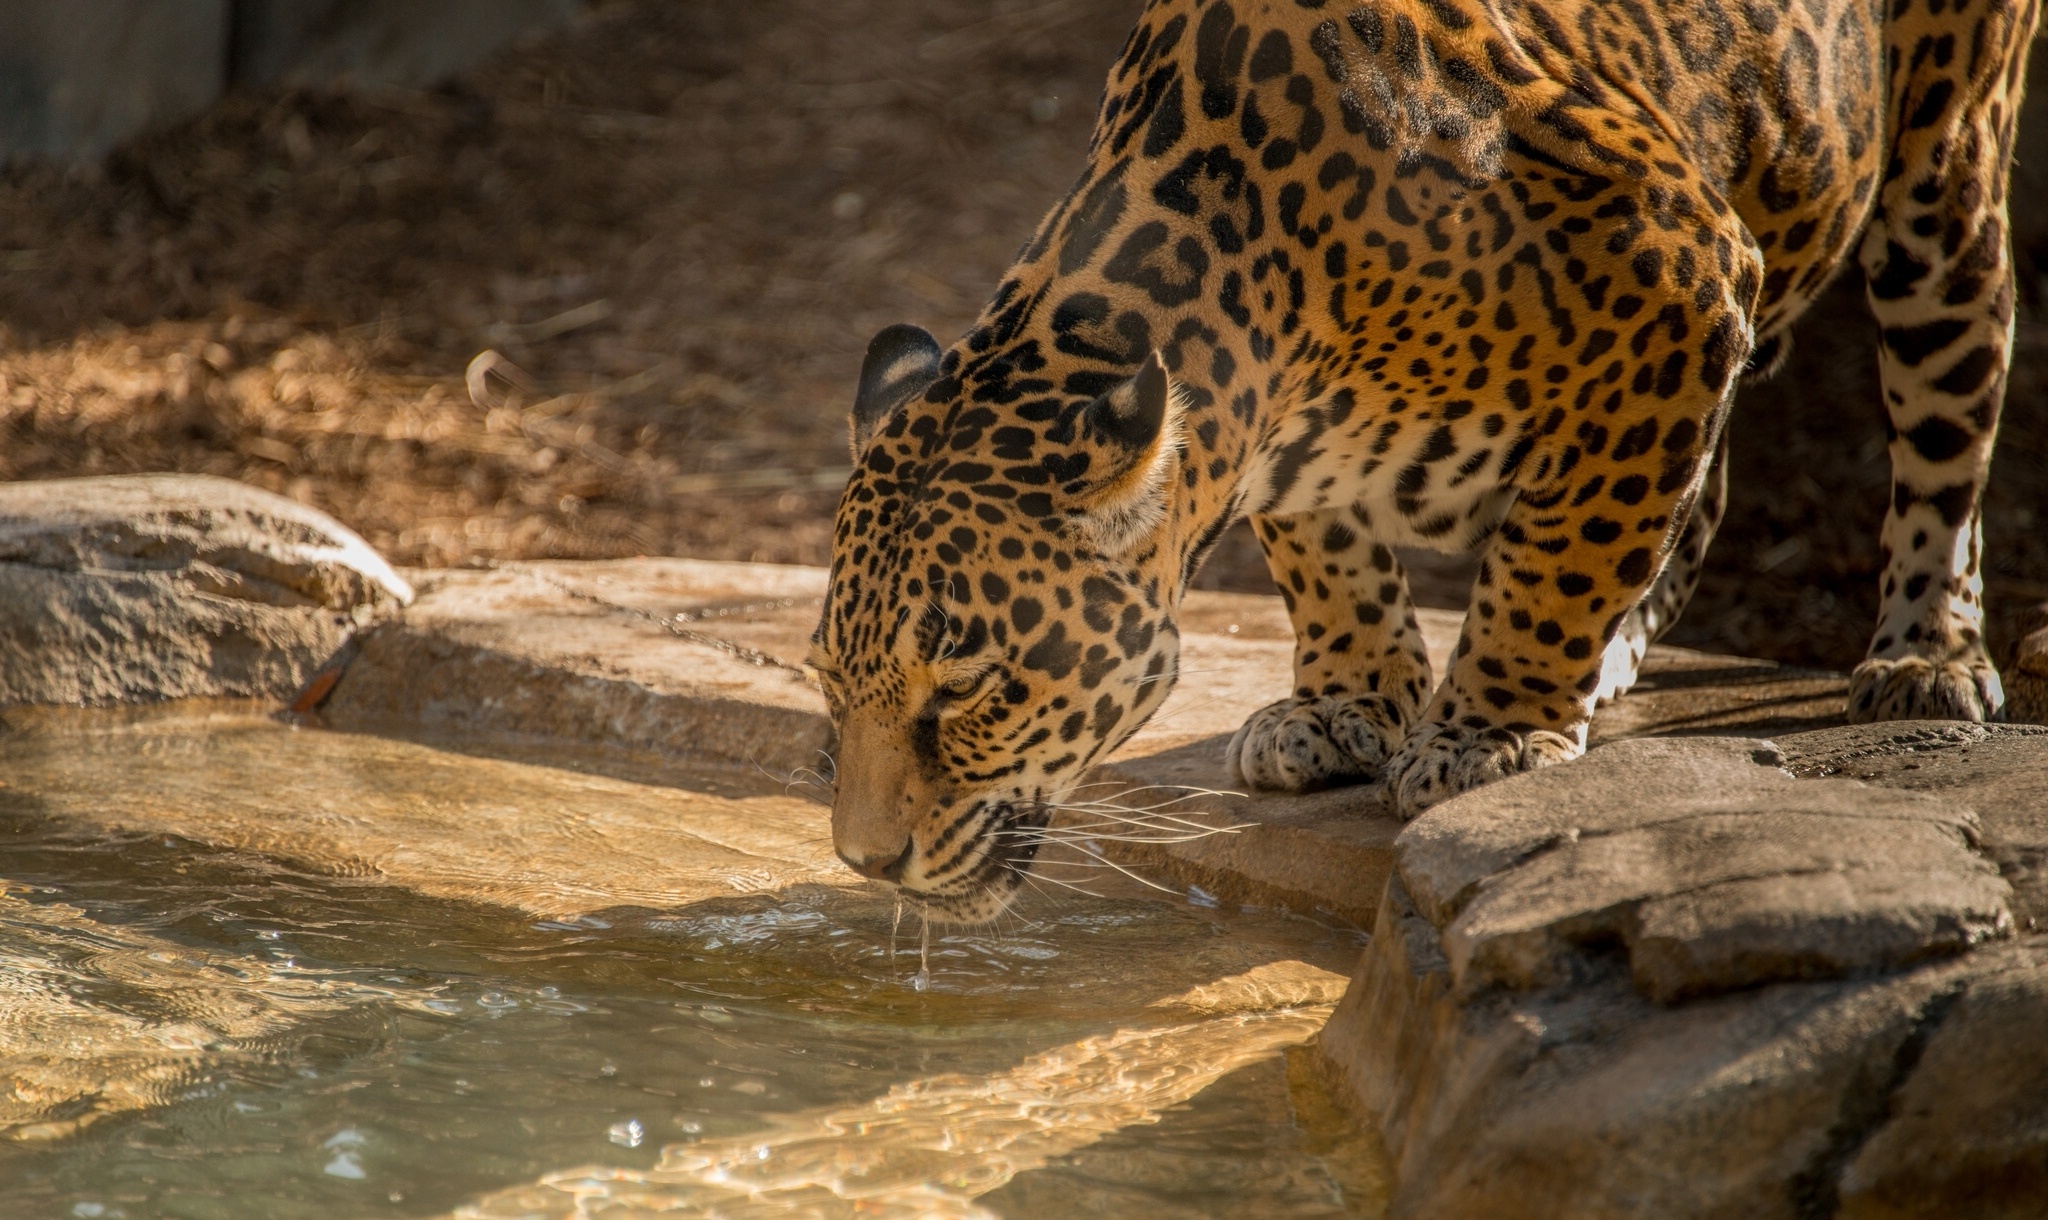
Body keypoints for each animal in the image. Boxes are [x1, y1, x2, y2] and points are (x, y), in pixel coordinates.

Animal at [802, 0, 2031, 917]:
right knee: (1706, 489)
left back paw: (1925, 652)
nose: (864, 861)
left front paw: (1492, 734)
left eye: (968, 688)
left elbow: (1563, 554)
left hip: (1945, 178)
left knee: (1945, 424)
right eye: (827, 680)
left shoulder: (1681, 277)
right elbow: (1323, 549)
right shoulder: (1269, 429)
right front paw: (1344, 702)